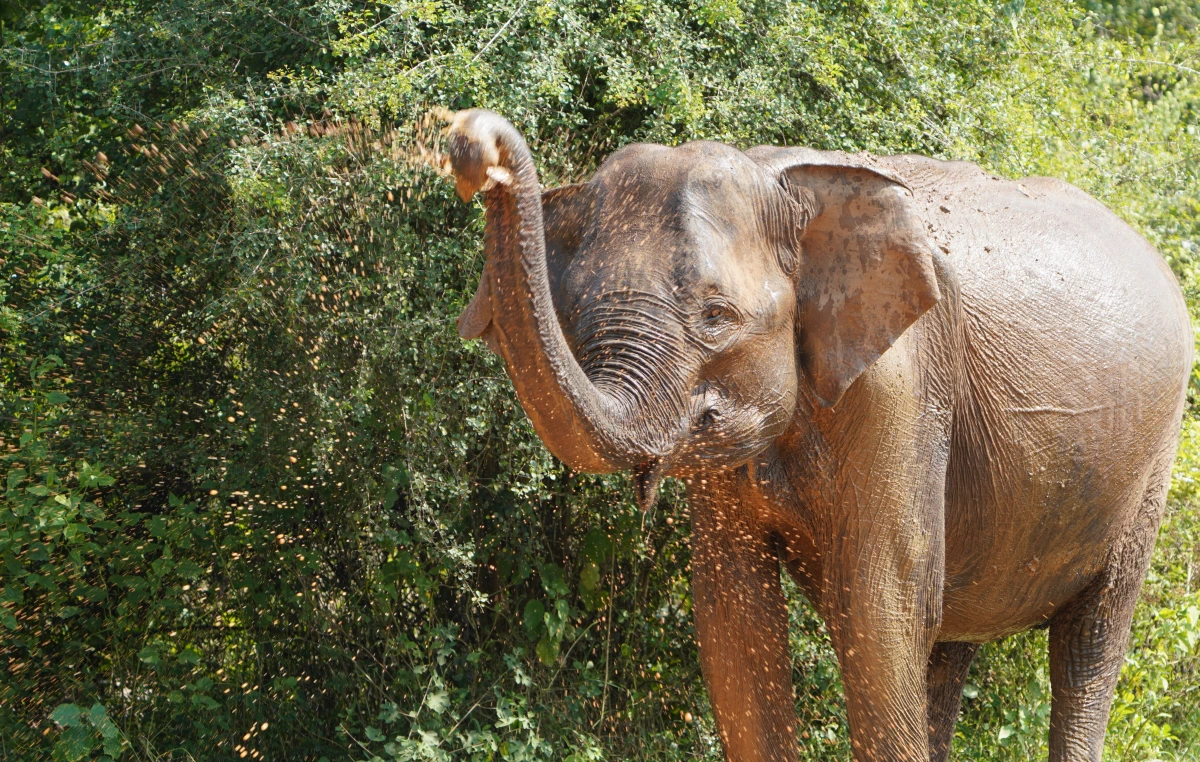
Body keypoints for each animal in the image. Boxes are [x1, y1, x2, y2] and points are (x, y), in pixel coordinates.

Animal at [439, 108, 1190, 762]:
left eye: (716, 316)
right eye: (578, 313)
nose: (473, 143)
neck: (784, 182)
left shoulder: (902, 385)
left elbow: (879, 608)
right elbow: (735, 620)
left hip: (1151, 463)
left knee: (1090, 641)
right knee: (950, 641)